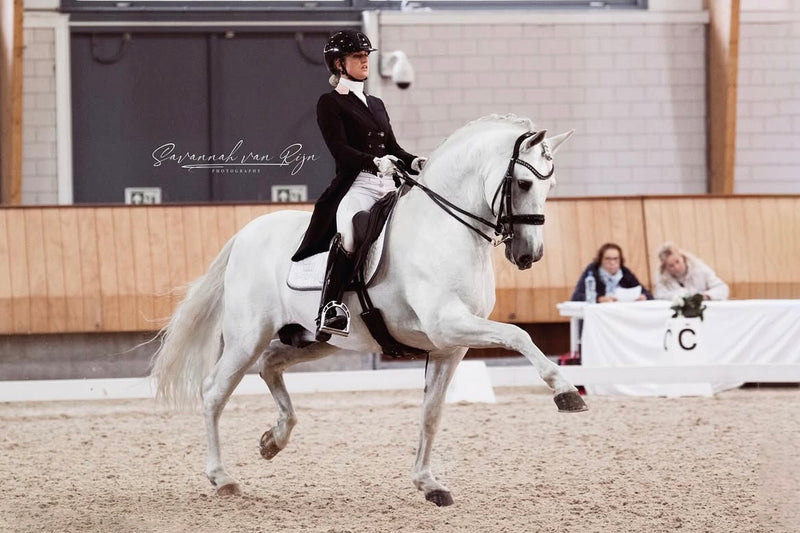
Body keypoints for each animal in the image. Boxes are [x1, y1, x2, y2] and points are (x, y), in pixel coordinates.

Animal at [150, 113, 587, 507]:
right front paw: (566, 392)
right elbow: (519, 334)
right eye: (524, 183)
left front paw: (429, 484)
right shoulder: (448, 325)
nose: (529, 255)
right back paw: (222, 478)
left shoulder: (449, 348)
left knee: (270, 365)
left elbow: (431, 414)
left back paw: (273, 440)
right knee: (214, 391)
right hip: (247, 337)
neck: (445, 229)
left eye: (550, 186)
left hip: (315, 340)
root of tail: (245, 233)